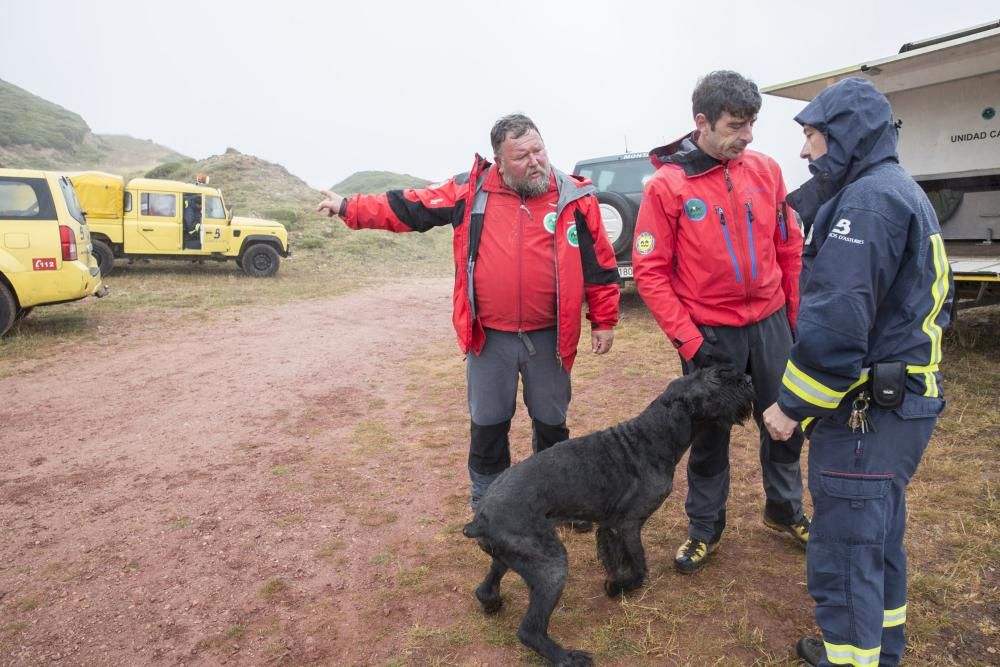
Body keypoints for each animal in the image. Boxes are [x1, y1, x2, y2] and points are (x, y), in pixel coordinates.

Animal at [460, 368, 752, 664]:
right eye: (715, 379)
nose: (748, 380)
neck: (655, 435)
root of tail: (480, 518)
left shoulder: (609, 528)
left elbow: (616, 557)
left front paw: (616, 579)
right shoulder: (628, 525)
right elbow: (639, 567)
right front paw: (618, 586)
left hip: (511, 557)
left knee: (485, 587)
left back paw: (492, 602)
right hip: (551, 566)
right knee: (529, 631)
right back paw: (567, 657)